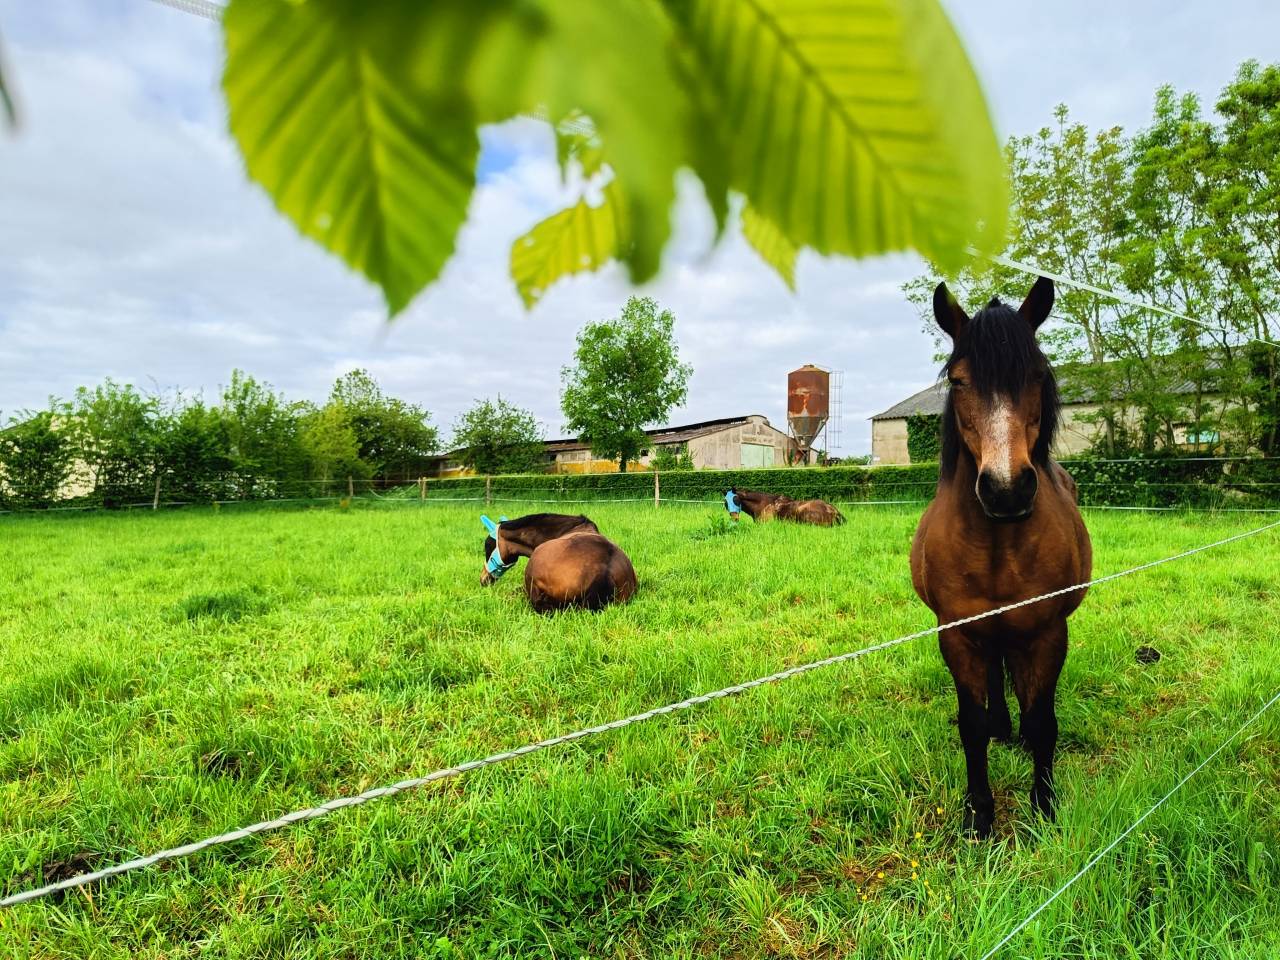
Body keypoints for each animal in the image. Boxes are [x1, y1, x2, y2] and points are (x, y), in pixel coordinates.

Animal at [910, 277, 1092, 838]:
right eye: (959, 382)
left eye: (1035, 375)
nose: (1006, 490)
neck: (997, 546)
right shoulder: (958, 634)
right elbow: (970, 725)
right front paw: (979, 814)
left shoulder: (1047, 631)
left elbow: (1043, 720)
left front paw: (1045, 806)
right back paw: (999, 727)